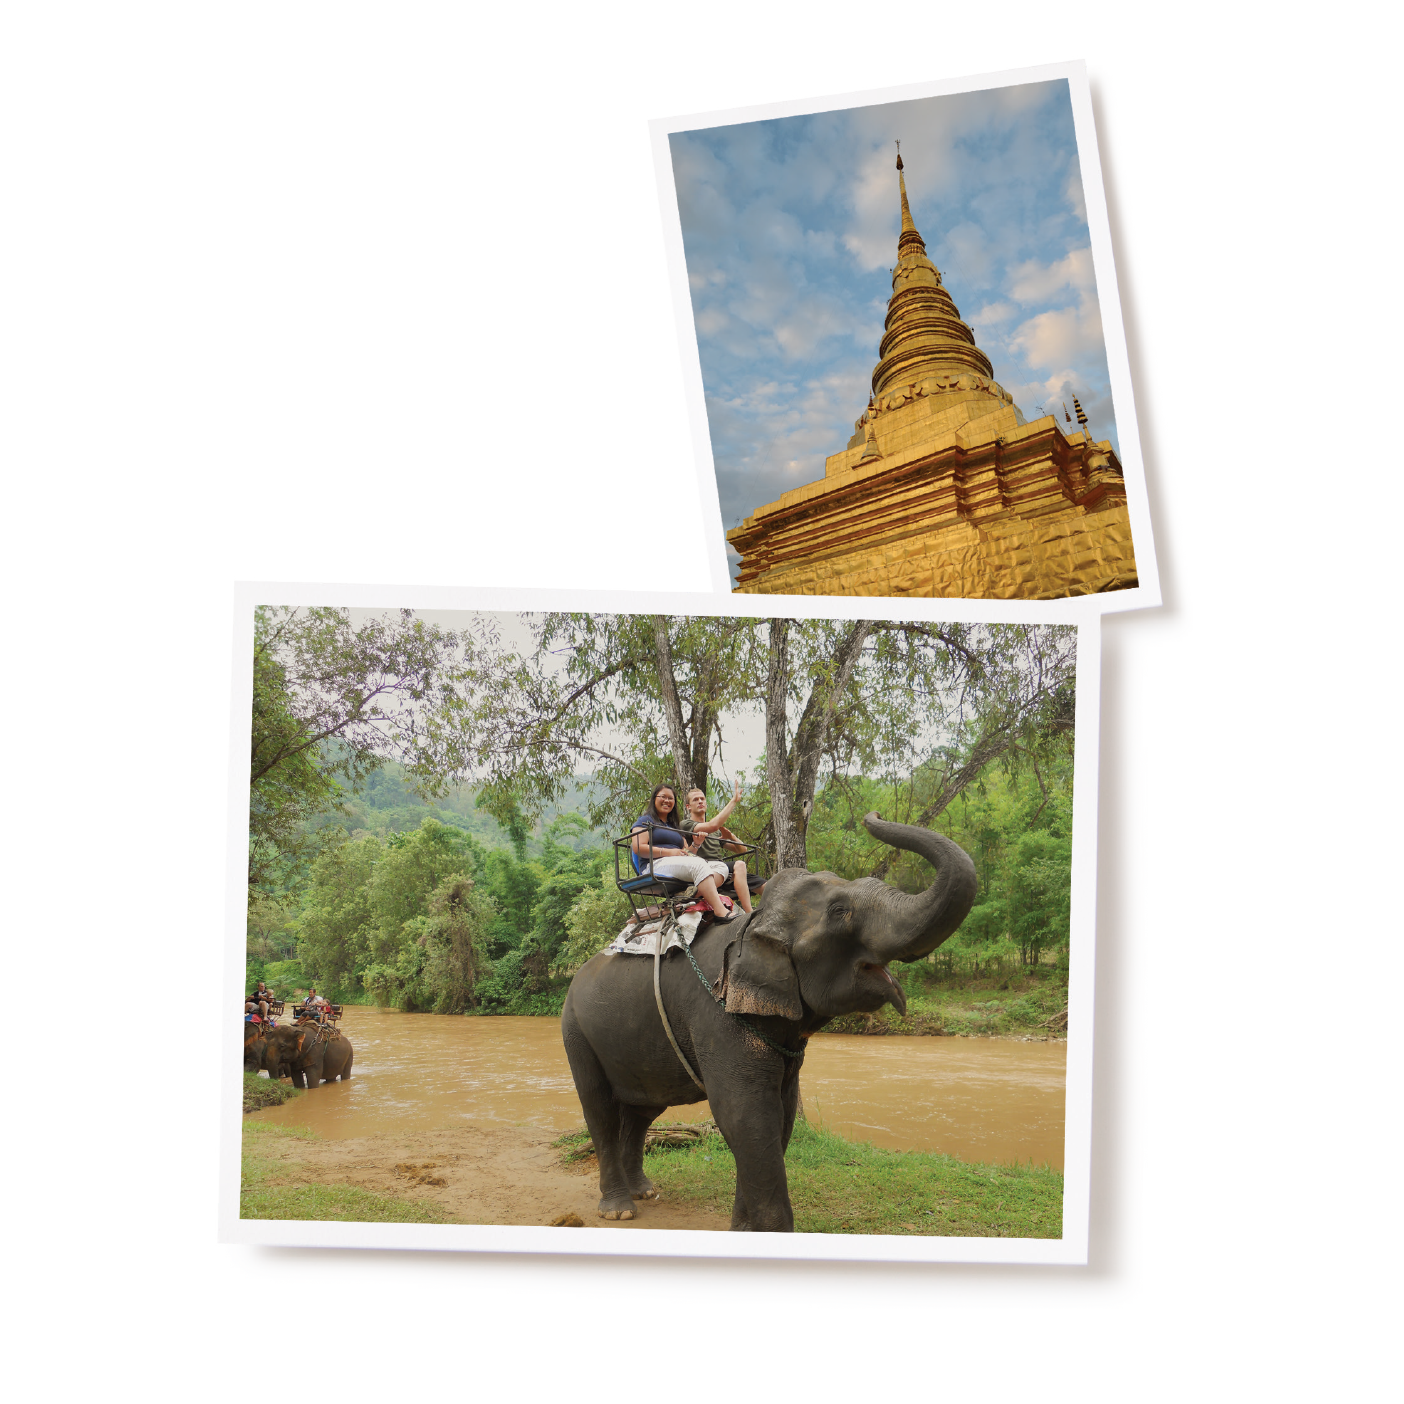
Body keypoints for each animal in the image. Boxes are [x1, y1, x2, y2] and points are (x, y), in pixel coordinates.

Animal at [558, 814, 977, 1229]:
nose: (870, 816)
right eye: (840, 911)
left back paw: (643, 1191)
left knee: (641, 1111)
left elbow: (779, 1115)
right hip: (575, 1031)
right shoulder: (717, 1016)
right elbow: (745, 1116)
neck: (755, 924)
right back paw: (618, 1209)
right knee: (599, 1109)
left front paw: (743, 1229)